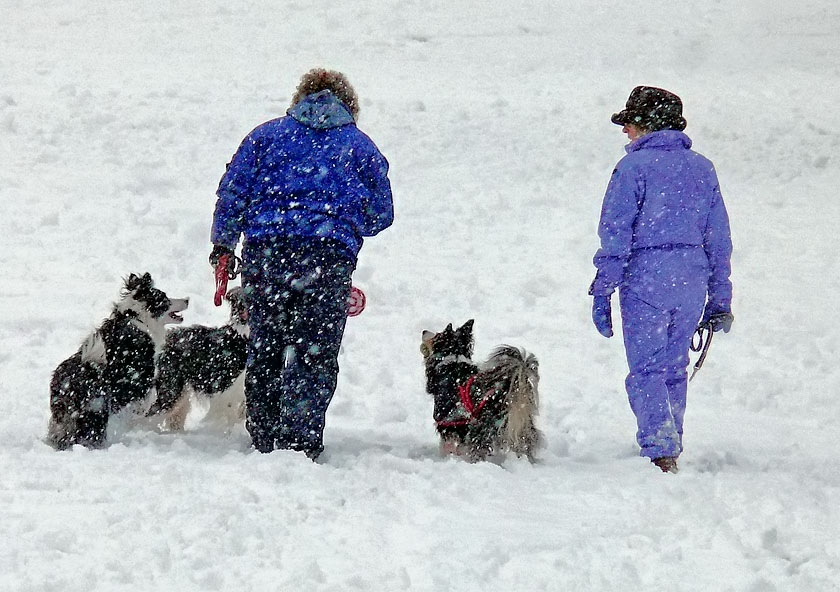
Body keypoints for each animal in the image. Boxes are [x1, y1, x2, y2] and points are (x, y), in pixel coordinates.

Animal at [48, 272, 189, 448]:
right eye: (165, 298)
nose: (187, 300)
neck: (137, 317)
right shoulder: (138, 384)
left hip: (64, 415)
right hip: (95, 408)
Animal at [420, 320, 544, 462]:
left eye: (437, 334)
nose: (423, 331)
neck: (453, 360)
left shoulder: (450, 421)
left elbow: (448, 446)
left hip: (482, 429)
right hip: (522, 428)